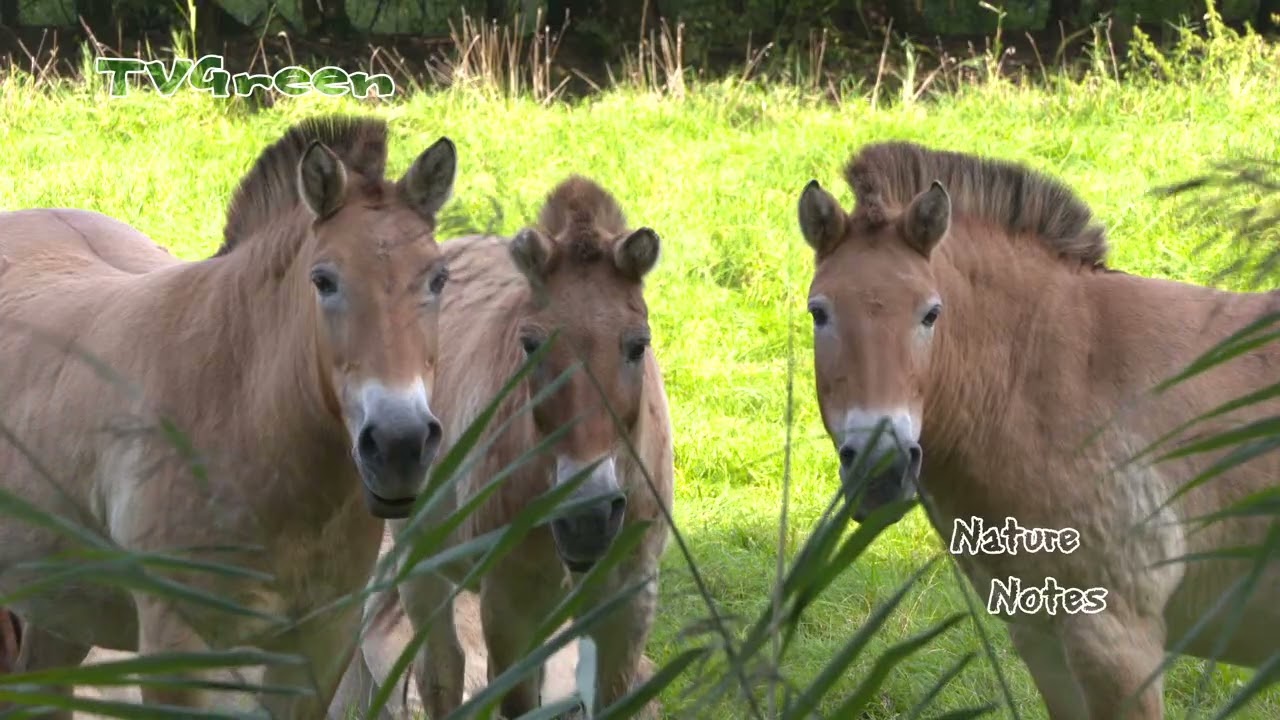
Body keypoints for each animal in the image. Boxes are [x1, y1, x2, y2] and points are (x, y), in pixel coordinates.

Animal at [364, 175, 674, 719]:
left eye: (638, 344)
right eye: (530, 345)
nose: (587, 516)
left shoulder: (628, 600)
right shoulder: (510, 603)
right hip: (421, 565)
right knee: (441, 670)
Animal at [796, 141, 1280, 719]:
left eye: (931, 314)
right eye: (819, 312)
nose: (881, 469)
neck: (1051, 376)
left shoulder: (1118, 644)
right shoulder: (1041, 638)